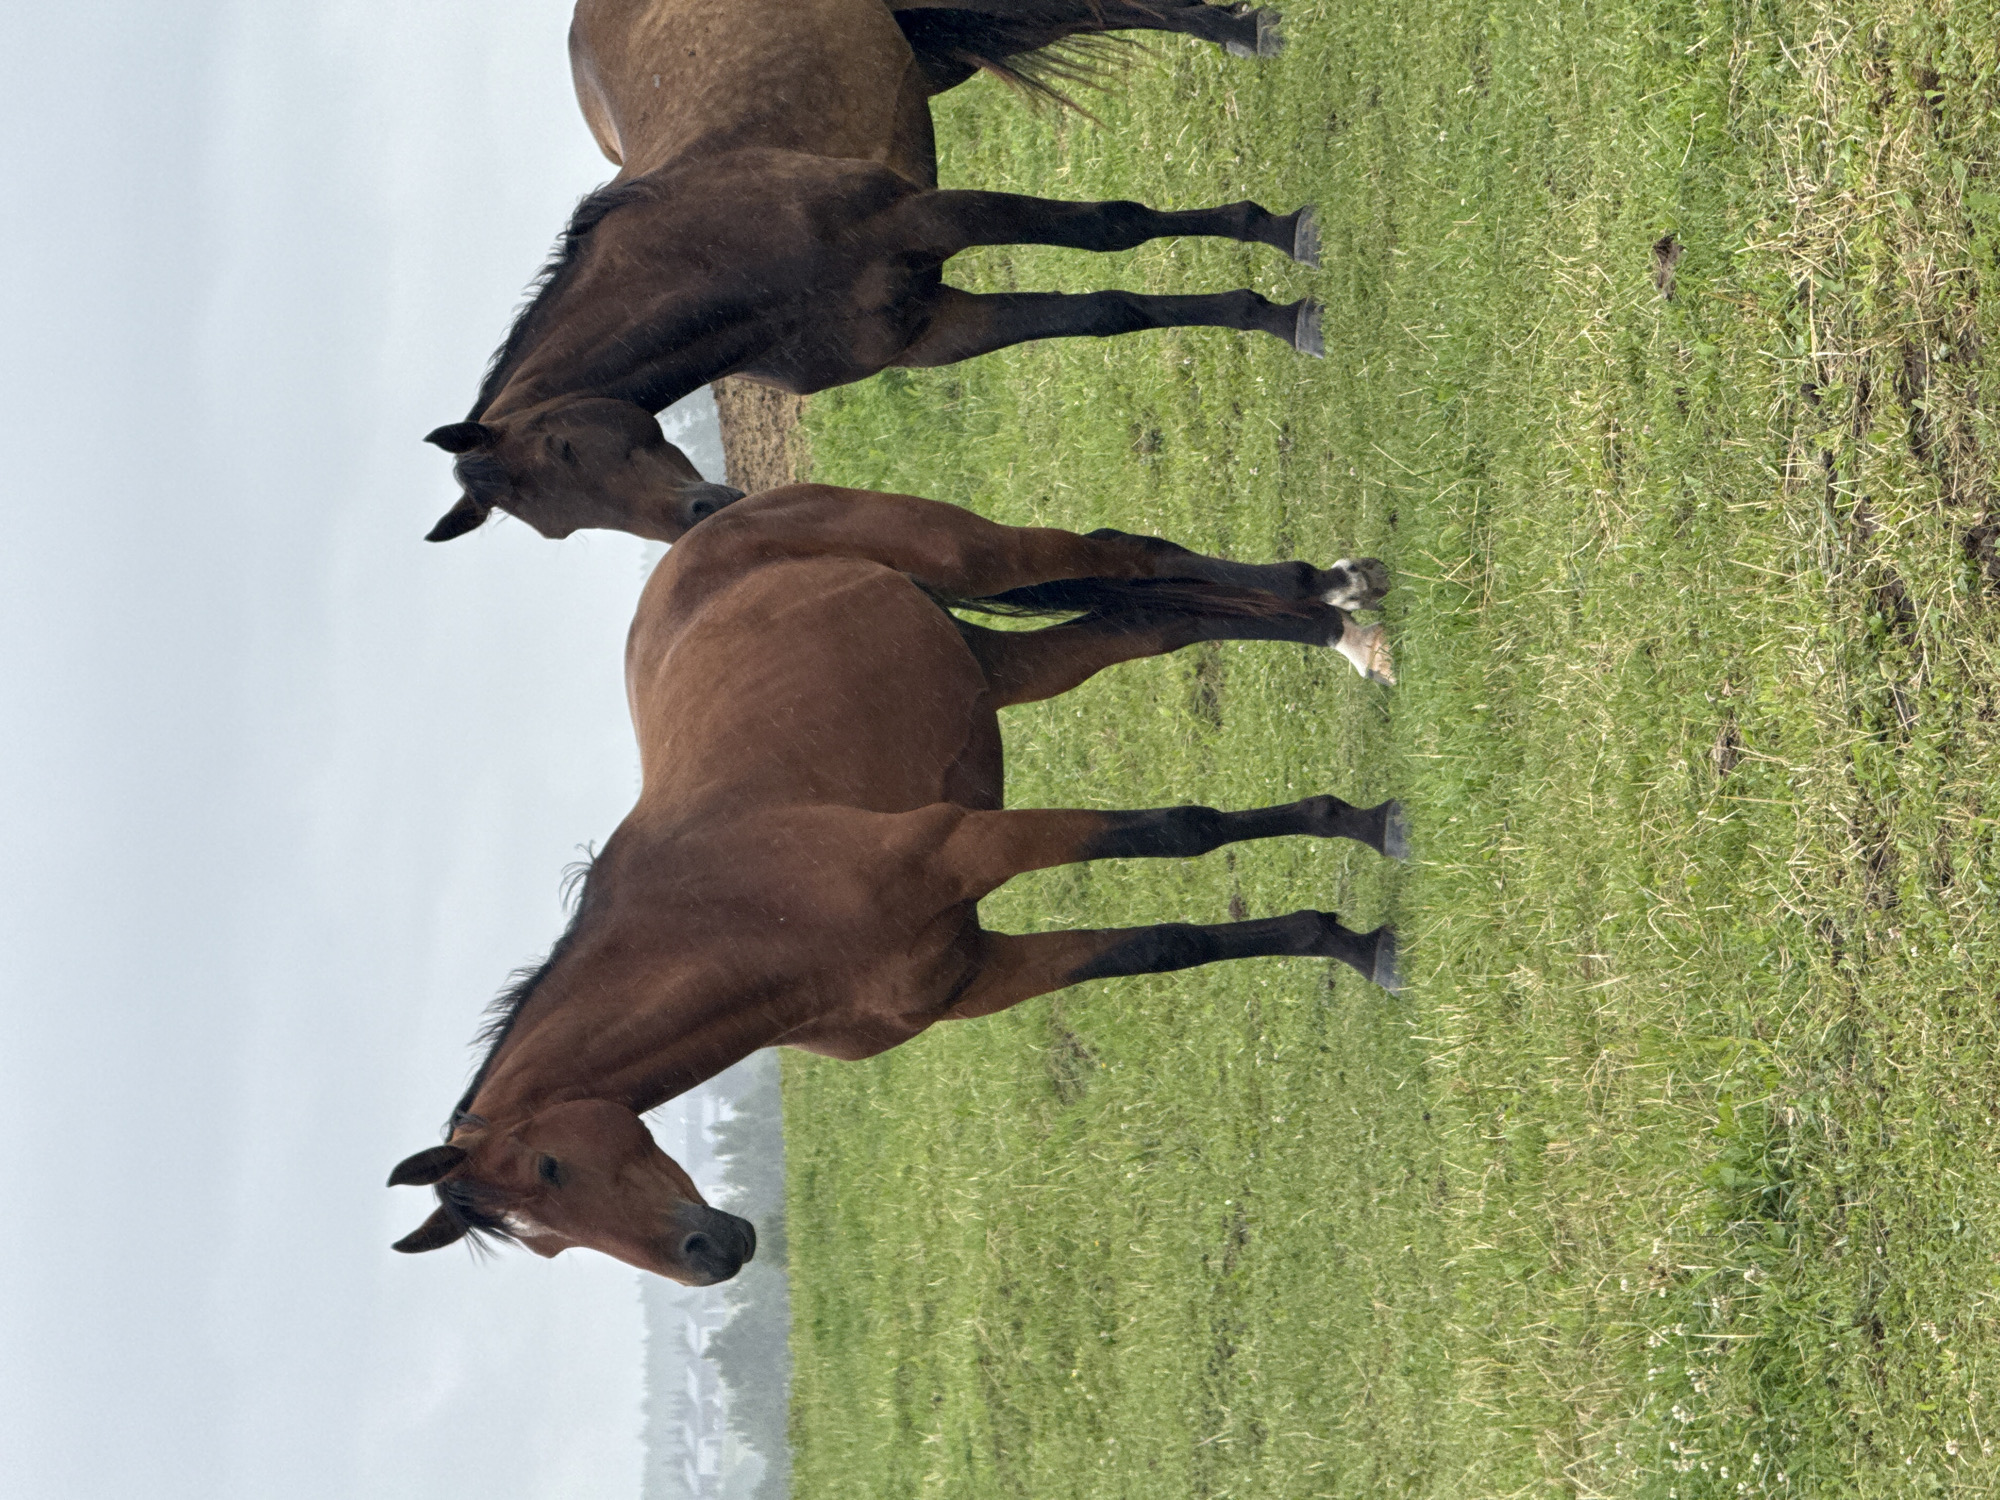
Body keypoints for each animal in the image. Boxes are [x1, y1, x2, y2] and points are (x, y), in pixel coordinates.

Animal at [387, 482, 1404, 1283]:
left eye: (548, 1170)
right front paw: (1346, 940)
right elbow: (1166, 946)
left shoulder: (970, 845)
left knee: (1128, 556)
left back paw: (1336, 604)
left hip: (978, 557)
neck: (743, 922)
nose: (709, 1258)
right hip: (999, 666)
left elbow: (1178, 833)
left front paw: (1367, 831)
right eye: (546, 1243)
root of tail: (711, 523)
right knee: (1154, 620)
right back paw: (1337, 624)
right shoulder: (979, 976)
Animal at [421, 0, 1319, 544]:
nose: (704, 515)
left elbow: (1113, 228)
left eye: (565, 446)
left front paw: (1281, 248)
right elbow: (1109, 310)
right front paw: (1270, 308)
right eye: (561, 527)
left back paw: (1245, 32)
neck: (726, 266)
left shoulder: (926, 219)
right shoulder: (933, 330)